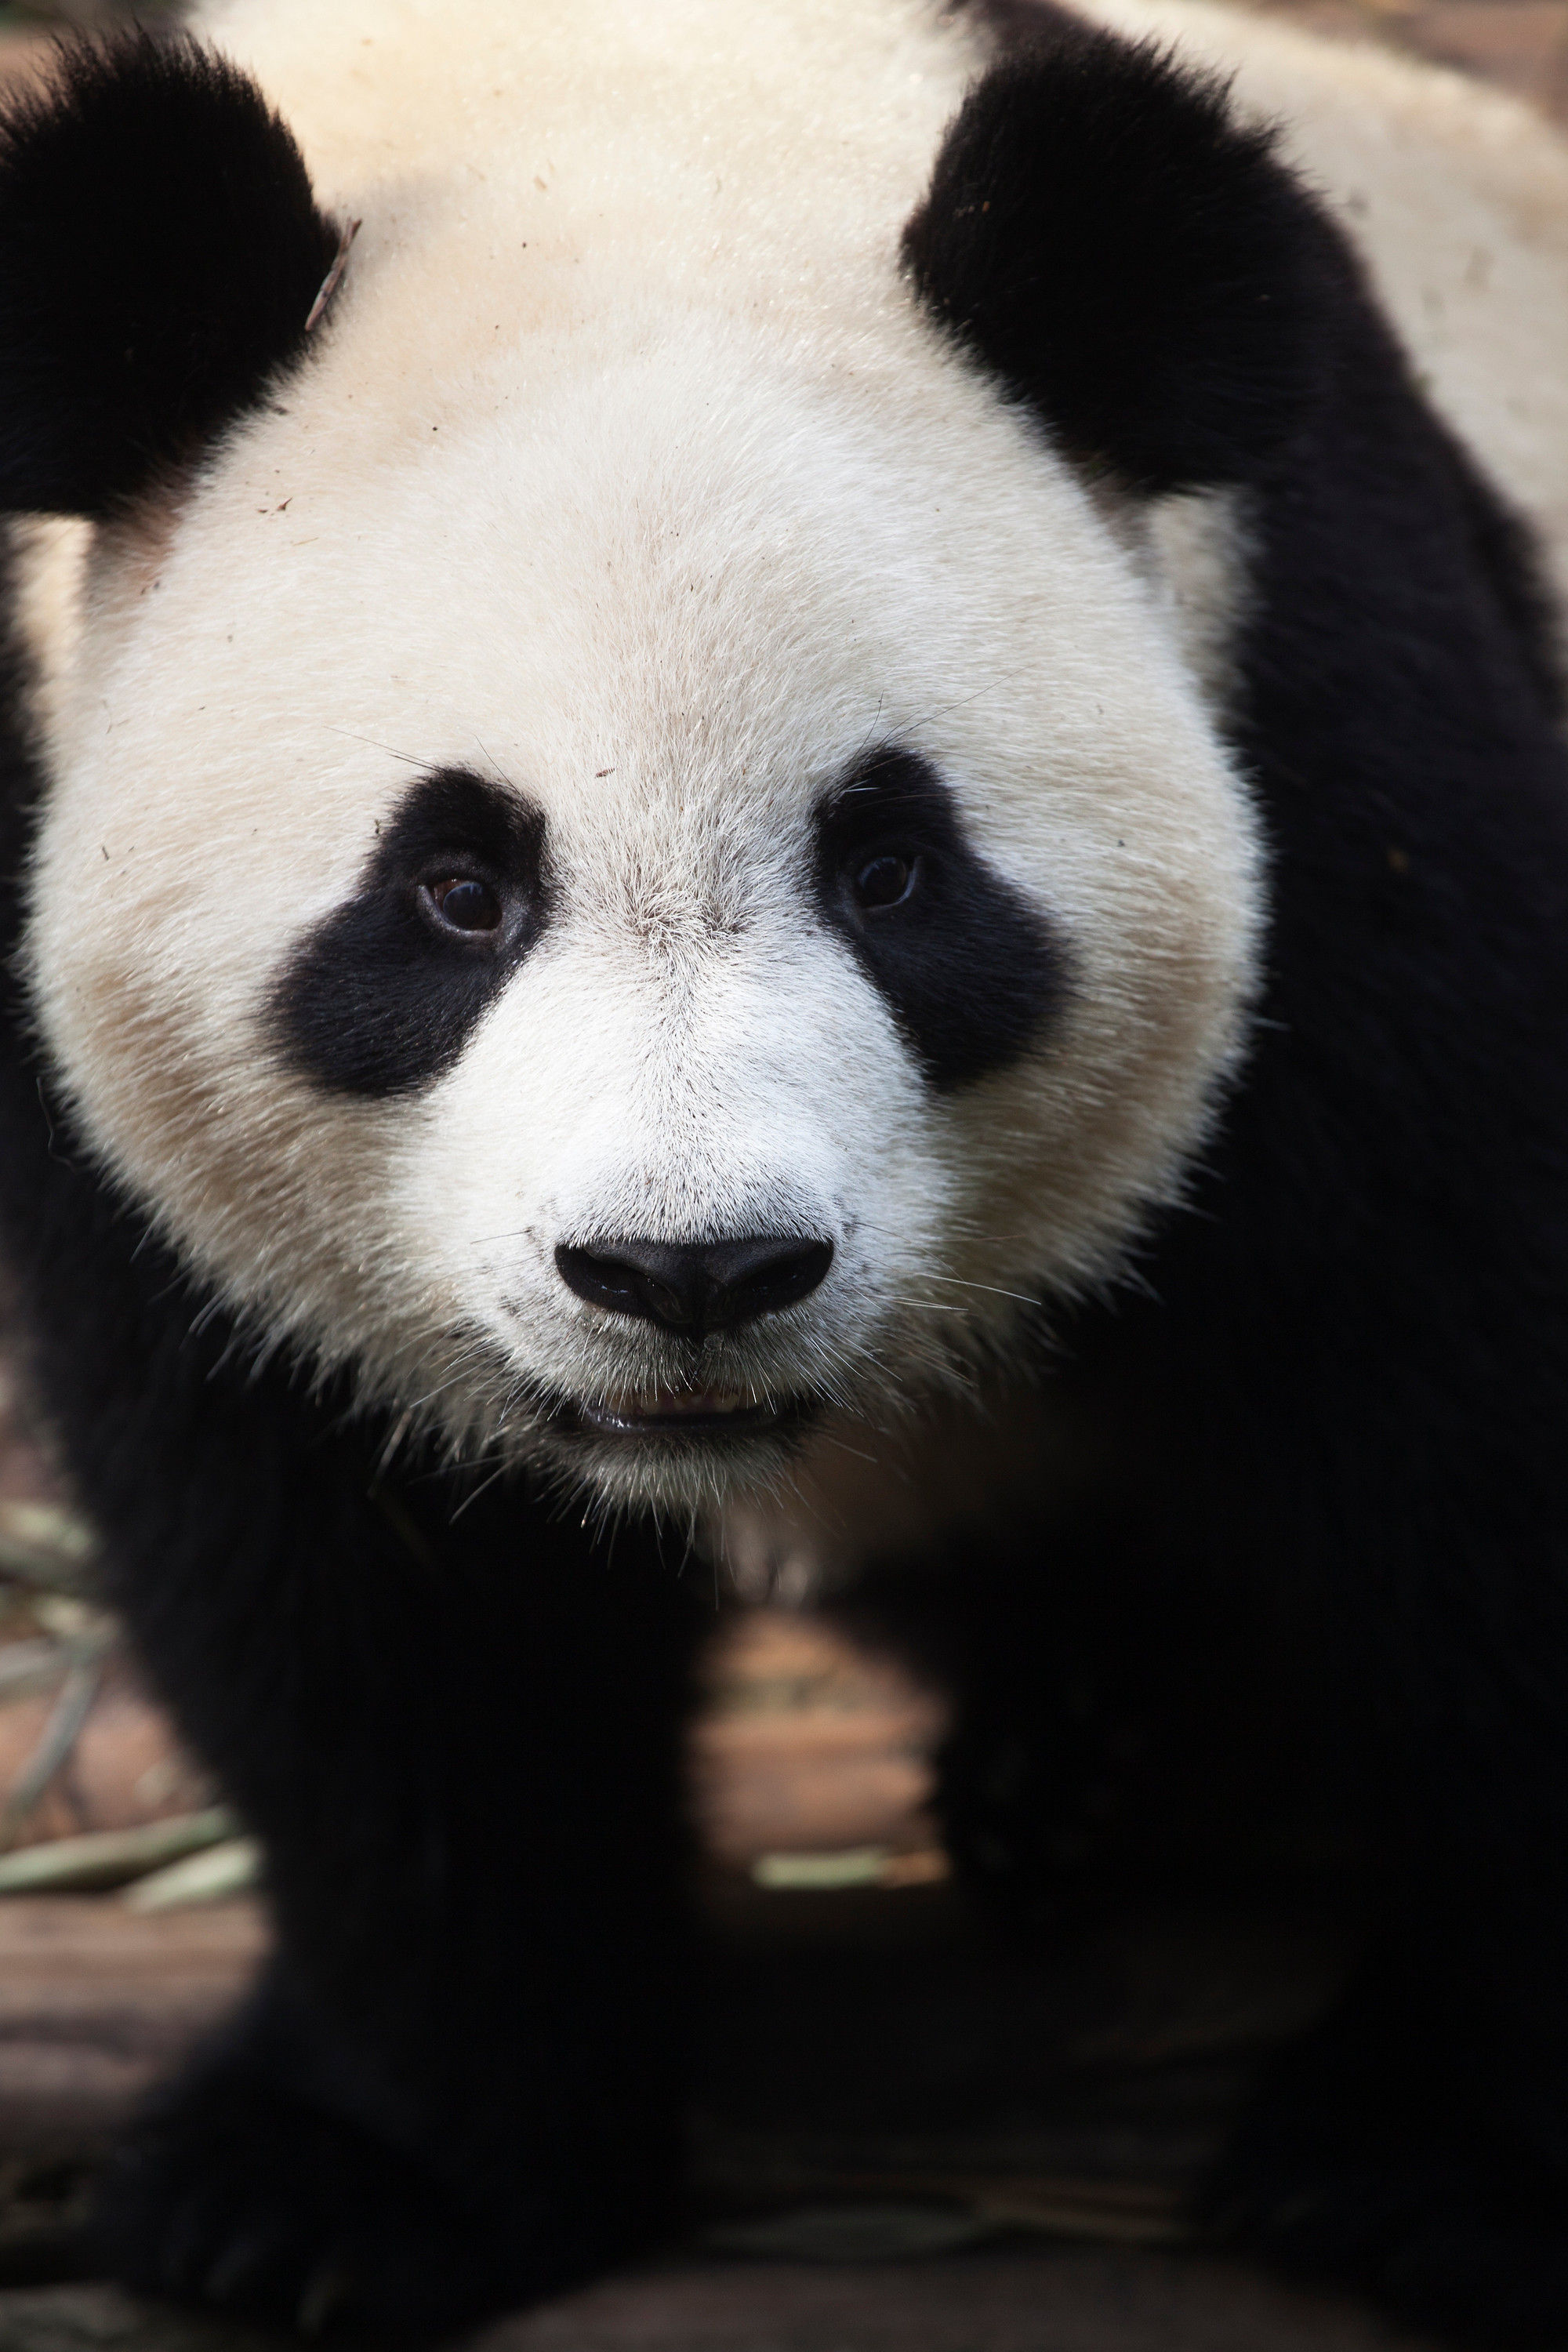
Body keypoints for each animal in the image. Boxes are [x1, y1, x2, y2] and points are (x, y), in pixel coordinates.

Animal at [0, 0, 1566, 2337]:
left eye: (890, 868)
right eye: (453, 887)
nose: (693, 1274)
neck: (596, 103)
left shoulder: (1335, 738)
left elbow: (1464, 1423)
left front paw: (1444, 2160)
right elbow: (341, 1597)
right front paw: (348, 2179)